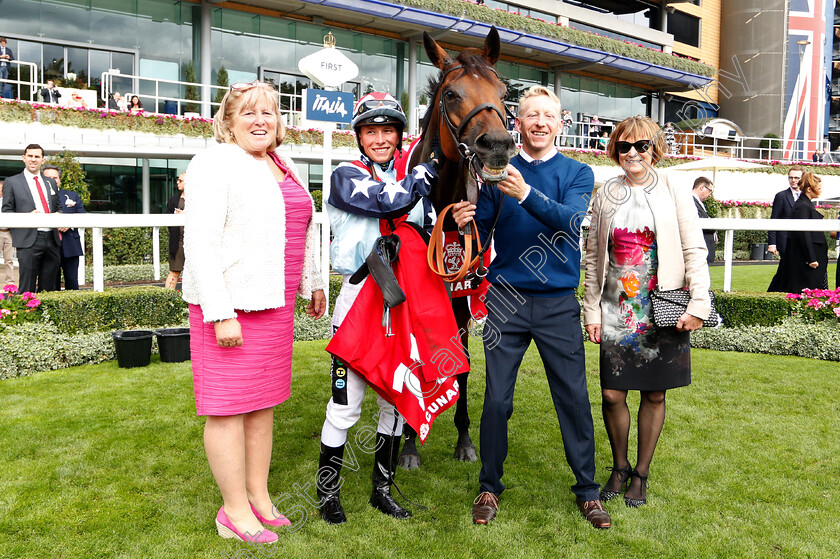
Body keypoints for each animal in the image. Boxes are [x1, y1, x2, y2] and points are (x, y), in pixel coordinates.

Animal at [398, 28, 516, 470]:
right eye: (450, 94)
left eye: (503, 91)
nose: (497, 144)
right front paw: (409, 445)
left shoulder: (462, 301)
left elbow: (462, 365)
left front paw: (465, 439)